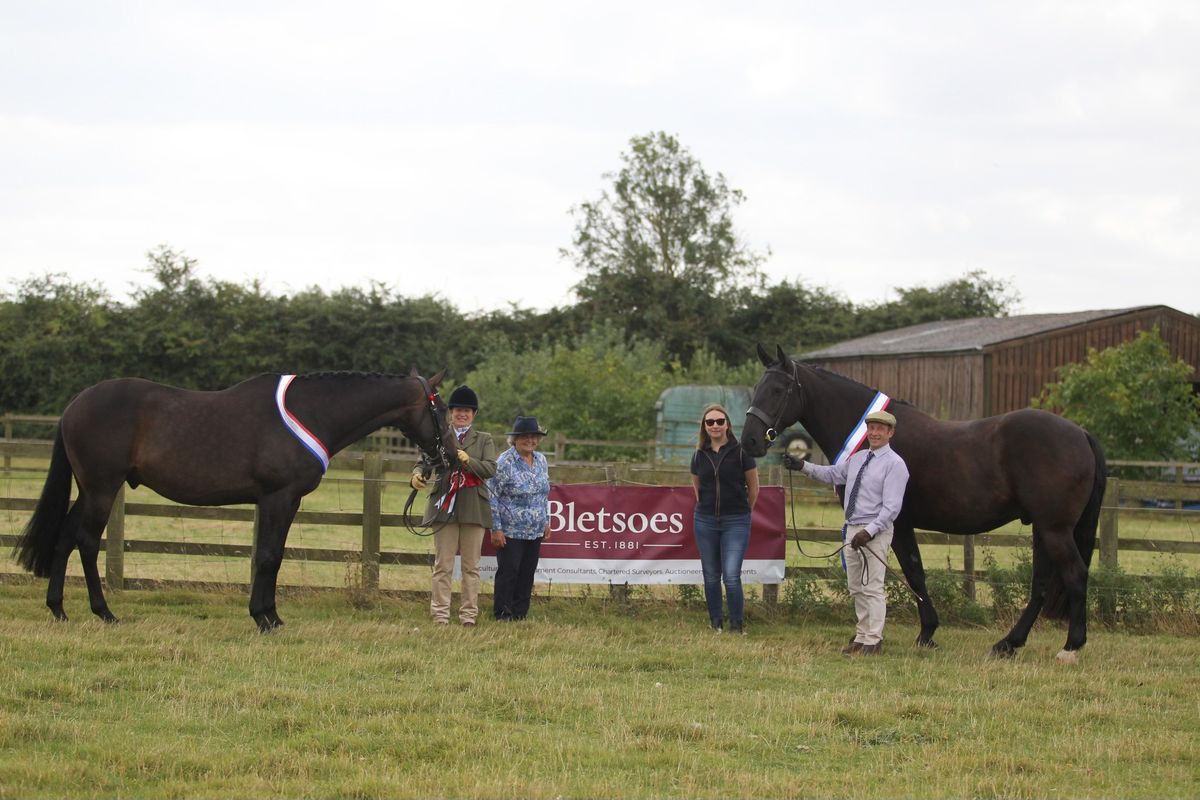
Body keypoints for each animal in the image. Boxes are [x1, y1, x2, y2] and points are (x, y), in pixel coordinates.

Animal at [11, 371, 456, 633]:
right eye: (442, 409)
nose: (450, 455)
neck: (309, 413)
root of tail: (75, 405)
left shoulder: (280, 502)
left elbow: (269, 555)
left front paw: (269, 613)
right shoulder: (279, 498)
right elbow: (269, 556)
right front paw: (264, 618)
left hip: (89, 490)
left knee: (65, 538)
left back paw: (59, 609)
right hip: (102, 488)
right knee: (86, 542)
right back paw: (104, 612)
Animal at [744, 345, 1108, 662]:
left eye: (778, 389)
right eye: (757, 388)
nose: (750, 441)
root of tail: (1081, 434)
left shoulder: (896, 524)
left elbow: (913, 575)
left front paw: (923, 634)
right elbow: (912, 574)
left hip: (1055, 529)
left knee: (1075, 575)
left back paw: (1070, 647)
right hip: (1042, 530)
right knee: (1041, 584)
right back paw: (1007, 644)